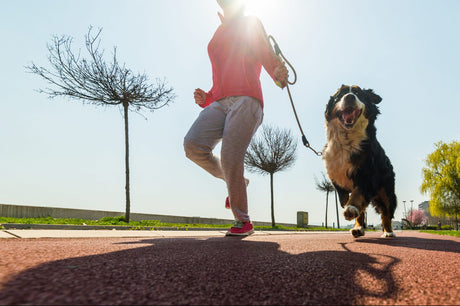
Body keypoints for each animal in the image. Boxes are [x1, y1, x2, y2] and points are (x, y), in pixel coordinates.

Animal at [322, 85, 398, 238]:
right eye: (341, 94)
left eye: (359, 94)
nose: (350, 97)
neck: (347, 139)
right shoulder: (336, 176)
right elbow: (346, 199)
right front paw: (349, 207)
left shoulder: (367, 175)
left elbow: (357, 195)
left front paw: (351, 208)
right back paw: (358, 228)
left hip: (387, 191)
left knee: (386, 212)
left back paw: (388, 232)